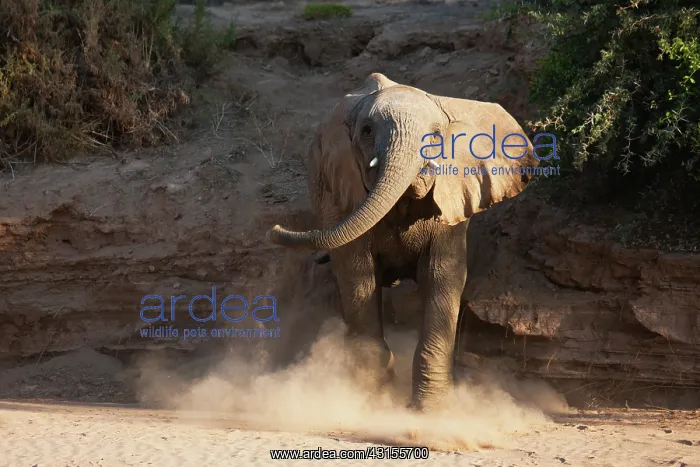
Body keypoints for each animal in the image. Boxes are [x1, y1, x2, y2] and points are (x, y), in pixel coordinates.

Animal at [267, 73, 539, 411]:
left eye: (435, 136)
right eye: (367, 131)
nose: (274, 229)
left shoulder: (451, 199)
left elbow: (442, 275)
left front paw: (431, 412)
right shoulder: (340, 193)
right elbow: (356, 272)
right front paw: (371, 399)